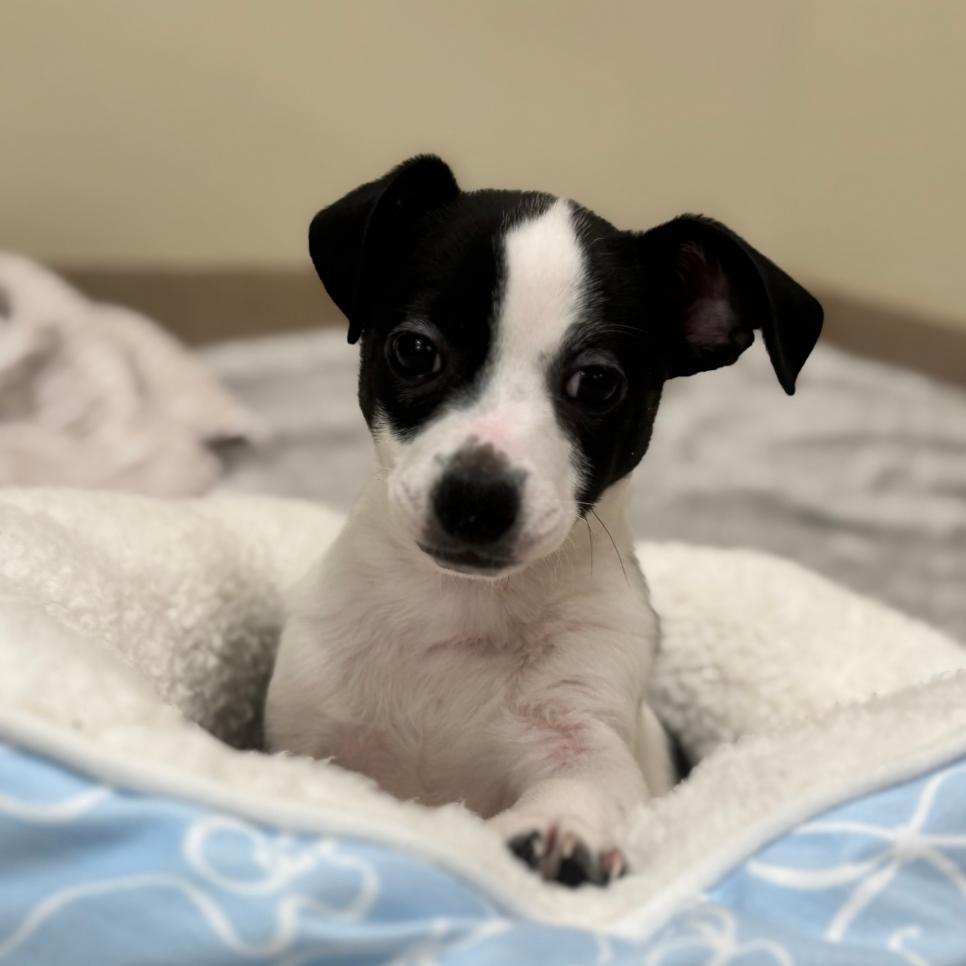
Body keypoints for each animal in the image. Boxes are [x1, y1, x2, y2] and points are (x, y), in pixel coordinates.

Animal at [264, 155, 822, 887]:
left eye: (598, 383)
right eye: (414, 350)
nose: (476, 497)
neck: (459, 614)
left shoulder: (586, 732)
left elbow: (583, 781)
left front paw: (559, 829)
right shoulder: (309, 736)